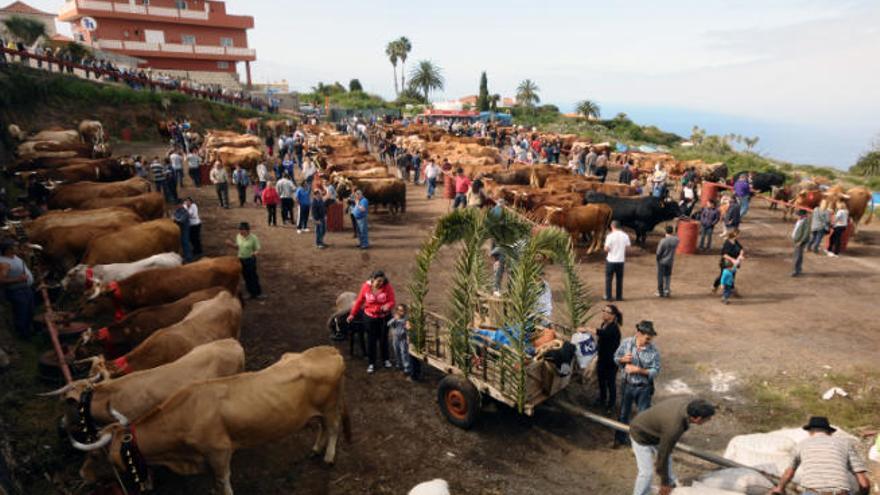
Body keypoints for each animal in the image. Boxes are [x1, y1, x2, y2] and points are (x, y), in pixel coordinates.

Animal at [73, 346, 348, 494]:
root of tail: (329, 350)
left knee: (333, 428)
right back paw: (316, 448)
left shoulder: (219, 452)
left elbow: (223, 481)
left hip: (330, 407)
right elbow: (215, 482)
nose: (82, 475)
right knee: (322, 427)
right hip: (315, 411)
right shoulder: (206, 457)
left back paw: (329, 456)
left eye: (97, 456)